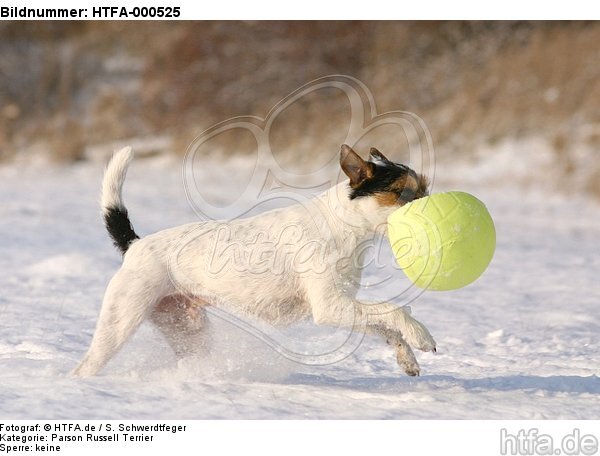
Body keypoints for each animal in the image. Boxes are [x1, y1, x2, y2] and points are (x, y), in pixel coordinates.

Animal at [74, 146, 436, 378]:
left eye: (425, 188)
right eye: (403, 192)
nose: (433, 208)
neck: (342, 223)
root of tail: (135, 245)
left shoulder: (343, 305)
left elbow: (385, 327)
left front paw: (407, 358)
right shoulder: (330, 306)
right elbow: (393, 310)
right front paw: (422, 336)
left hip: (188, 331)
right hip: (119, 324)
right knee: (85, 366)